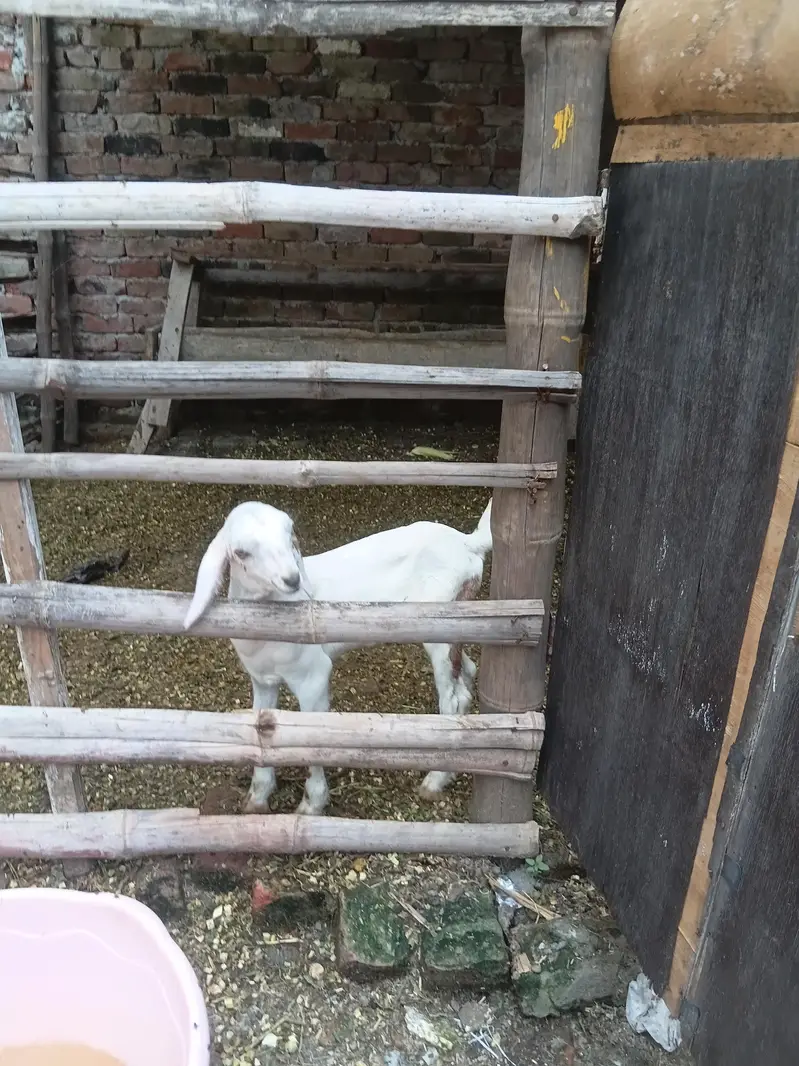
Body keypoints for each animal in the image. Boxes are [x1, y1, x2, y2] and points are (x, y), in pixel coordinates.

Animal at [183, 499, 493, 816]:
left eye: (289, 533)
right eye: (241, 552)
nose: (292, 579)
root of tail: (467, 543)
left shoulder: (314, 676)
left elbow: (313, 737)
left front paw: (312, 804)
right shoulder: (262, 679)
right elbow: (261, 731)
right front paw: (257, 798)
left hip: (442, 622)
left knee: (451, 699)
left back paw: (436, 779)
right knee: (466, 676)